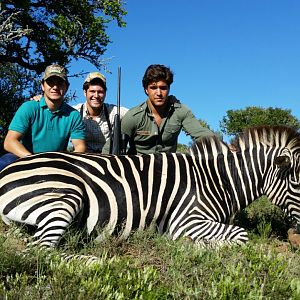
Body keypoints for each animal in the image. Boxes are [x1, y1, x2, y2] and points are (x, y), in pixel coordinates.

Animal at [0, 125, 298, 254]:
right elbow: (241, 236)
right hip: (65, 196)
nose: (296, 236)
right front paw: (191, 245)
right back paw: (100, 261)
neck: (216, 180)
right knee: (41, 251)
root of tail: (7, 170)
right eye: (297, 181)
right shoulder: (186, 220)